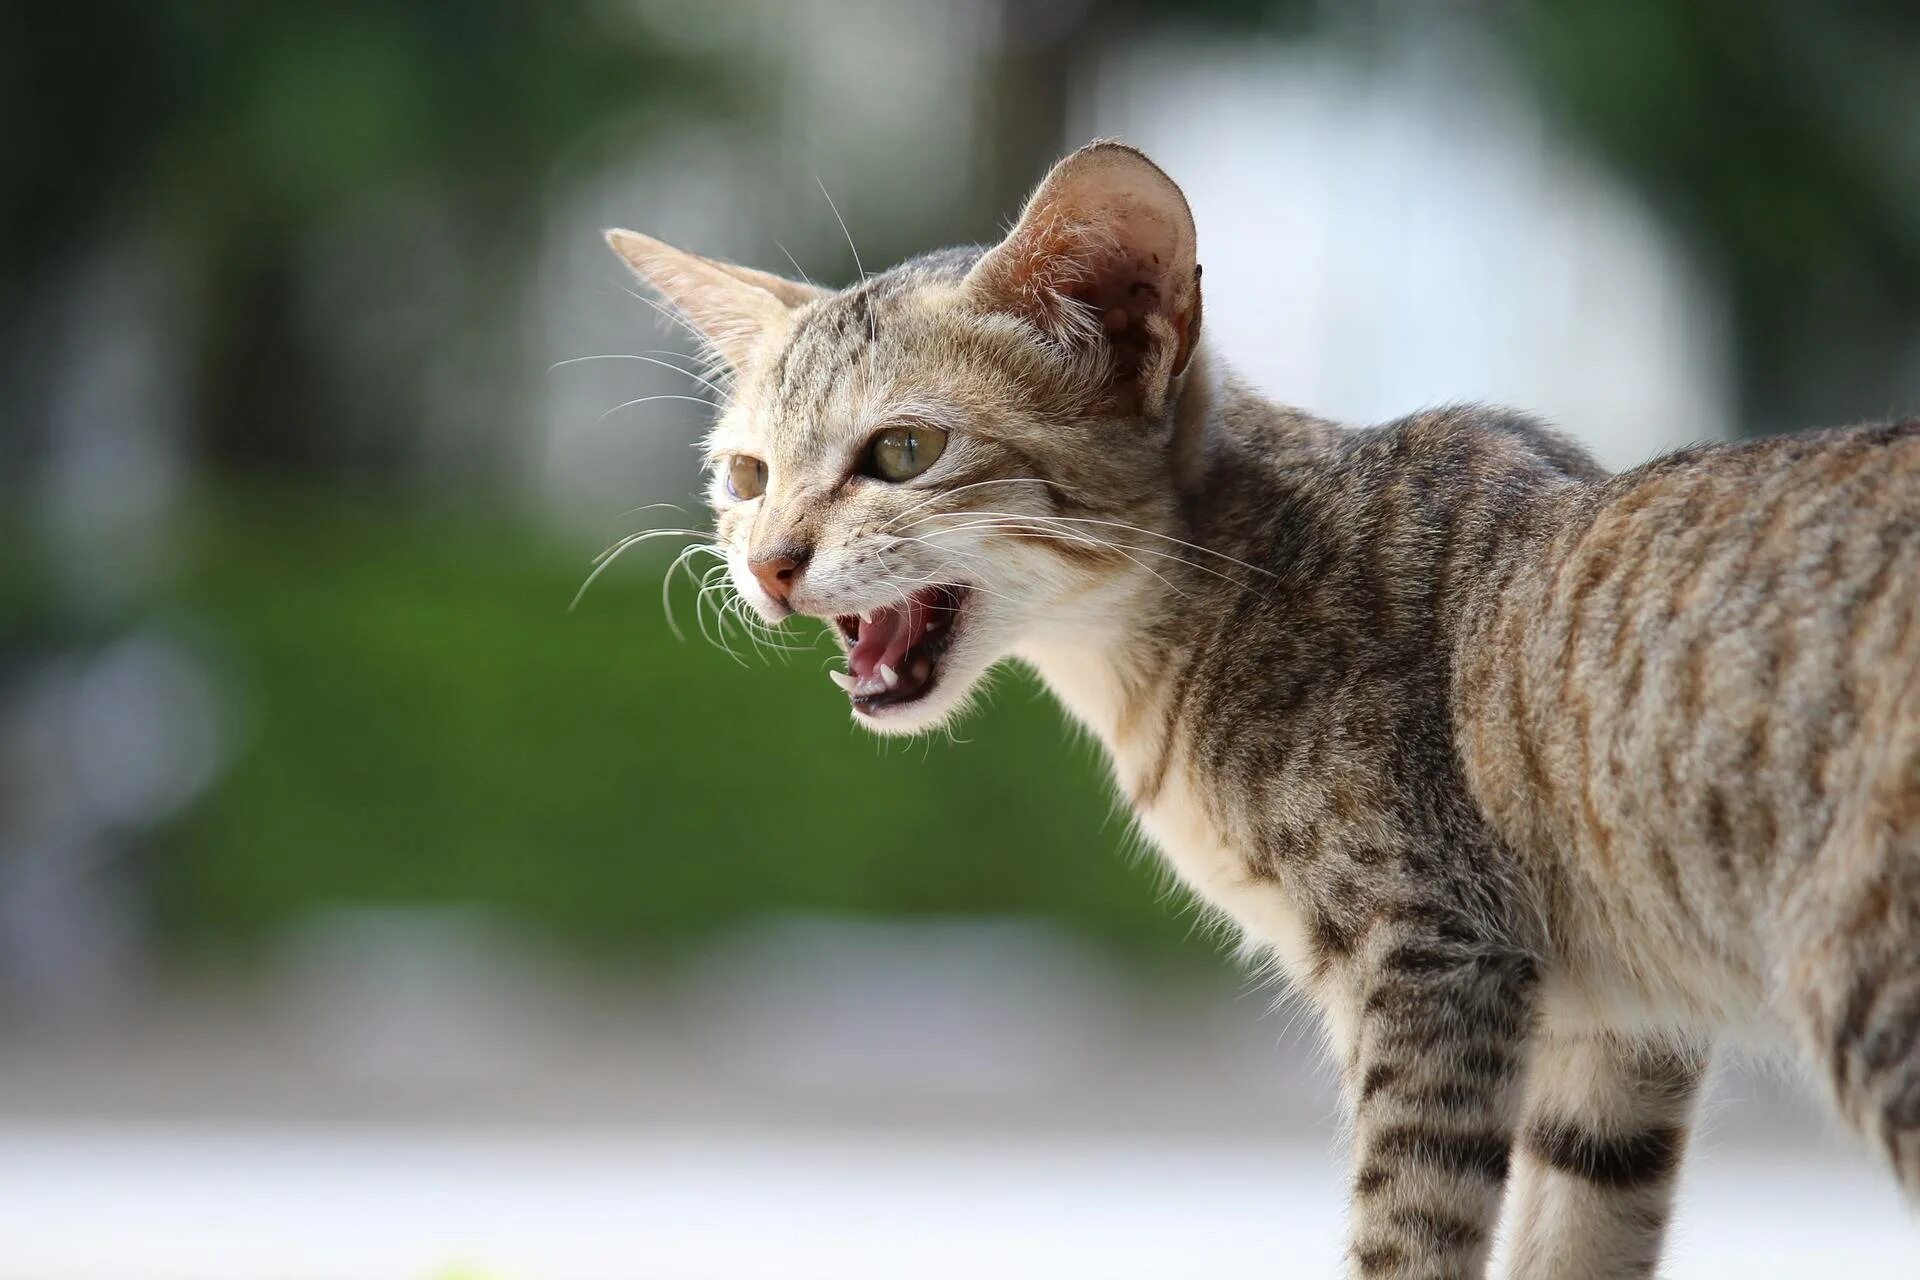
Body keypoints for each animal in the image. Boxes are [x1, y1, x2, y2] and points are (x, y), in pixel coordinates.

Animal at [610, 142, 1920, 1280]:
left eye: (902, 450)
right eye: (745, 476)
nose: (767, 563)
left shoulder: (1435, 957)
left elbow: (1409, 1228)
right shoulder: (1618, 1037)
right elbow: (1578, 1231)